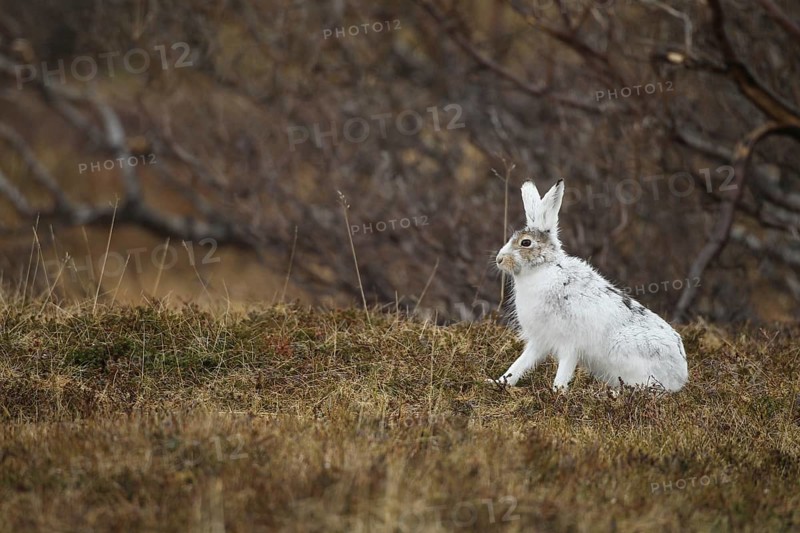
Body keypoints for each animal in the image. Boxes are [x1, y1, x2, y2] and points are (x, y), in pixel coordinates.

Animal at [492, 179, 688, 392]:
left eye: (525, 243)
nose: (499, 259)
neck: (543, 269)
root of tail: (681, 375)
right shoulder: (540, 339)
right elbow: (521, 363)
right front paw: (498, 382)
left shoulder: (570, 342)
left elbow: (564, 368)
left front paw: (557, 392)